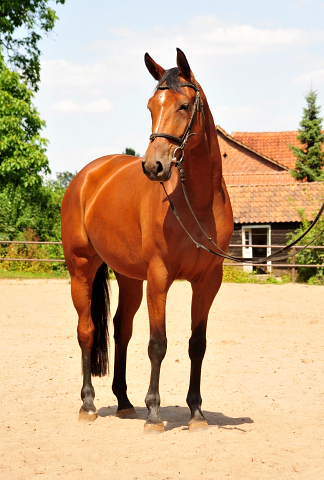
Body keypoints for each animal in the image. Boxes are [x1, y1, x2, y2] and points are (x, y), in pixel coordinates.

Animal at [60, 47, 233, 432]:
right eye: (152, 106)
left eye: (184, 105)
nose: (154, 166)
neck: (196, 204)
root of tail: (85, 176)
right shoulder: (159, 277)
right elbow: (158, 343)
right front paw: (154, 413)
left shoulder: (208, 282)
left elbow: (196, 344)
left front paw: (196, 413)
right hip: (81, 269)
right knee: (87, 330)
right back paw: (88, 404)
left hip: (128, 277)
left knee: (120, 329)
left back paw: (124, 402)